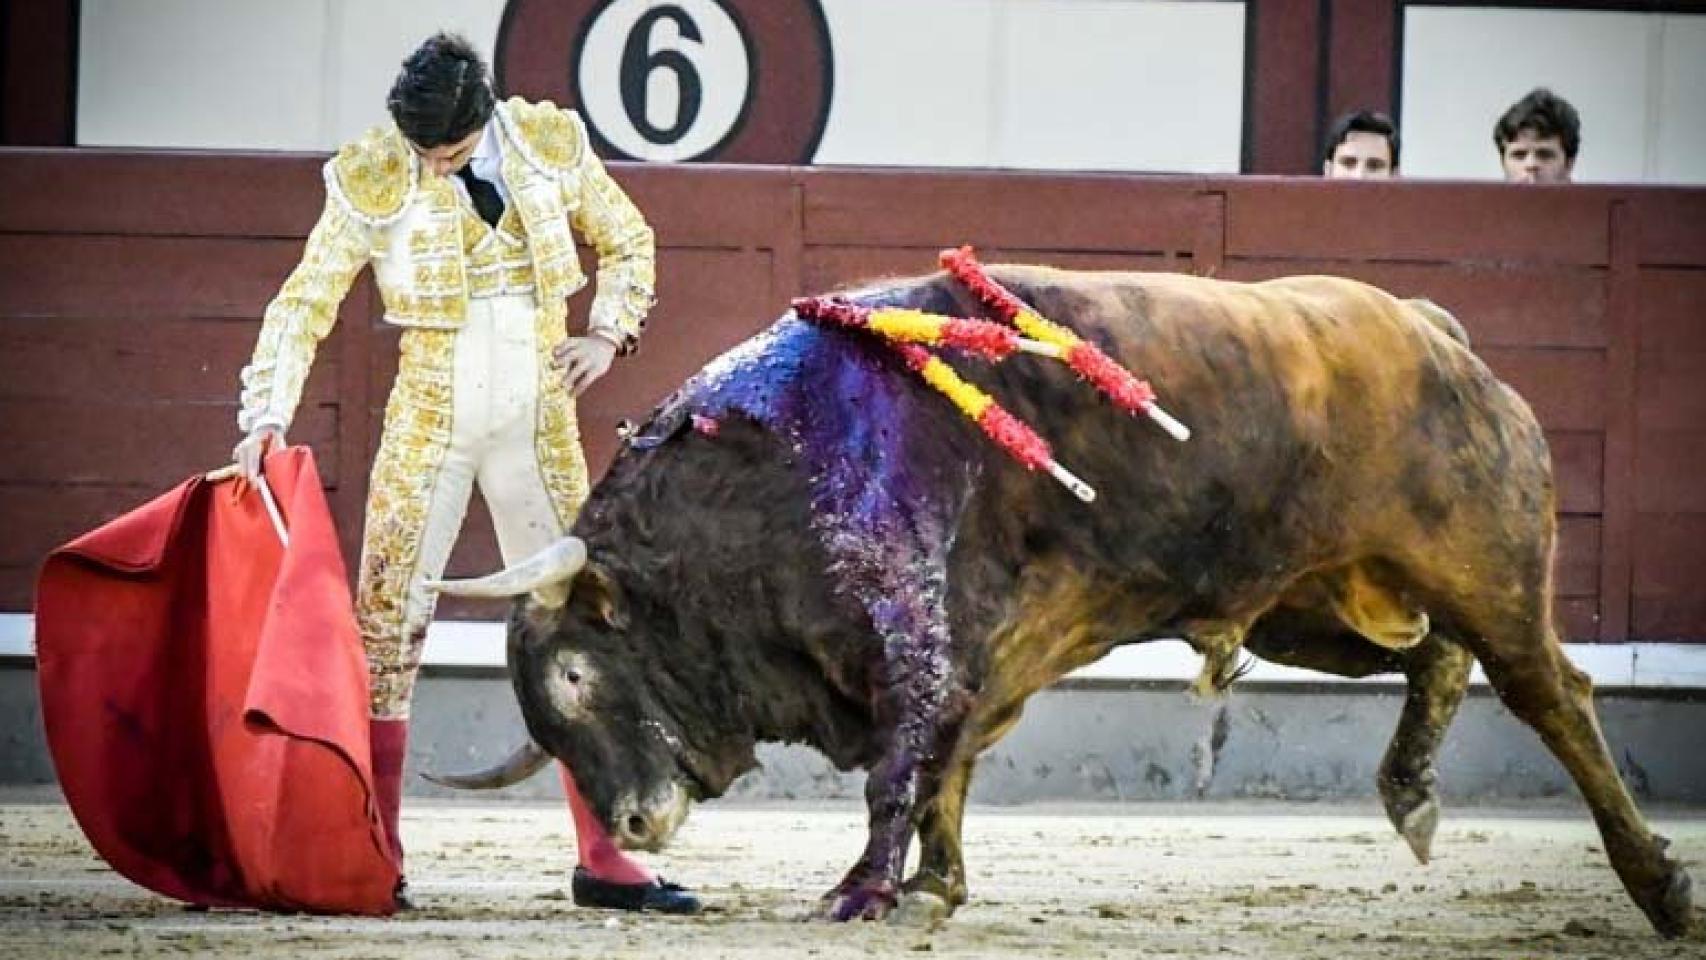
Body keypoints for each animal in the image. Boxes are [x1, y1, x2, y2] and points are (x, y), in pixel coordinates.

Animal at [436, 266, 1692, 934]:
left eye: (576, 674)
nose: (633, 828)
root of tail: (1436, 331)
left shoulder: (910, 629)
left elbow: (903, 765)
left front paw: (861, 894)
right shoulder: (970, 654)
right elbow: (944, 761)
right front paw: (932, 889)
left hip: (1481, 570)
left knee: (1548, 690)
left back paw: (1659, 887)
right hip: (1315, 606)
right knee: (1434, 658)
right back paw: (1411, 796)